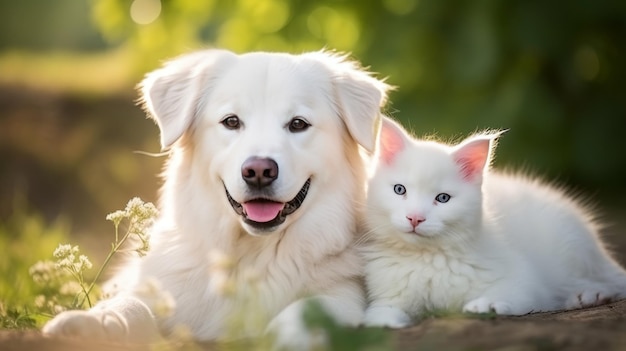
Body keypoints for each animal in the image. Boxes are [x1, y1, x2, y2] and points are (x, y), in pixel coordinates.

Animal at [41, 49, 388, 350]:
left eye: (298, 124)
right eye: (231, 121)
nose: (258, 171)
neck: (250, 256)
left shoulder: (344, 294)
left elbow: (306, 311)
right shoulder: (160, 289)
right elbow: (131, 304)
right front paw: (94, 323)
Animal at [358, 117, 624, 328]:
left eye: (442, 198)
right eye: (399, 190)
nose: (415, 218)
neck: (427, 257)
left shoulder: (526, 281)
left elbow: (514, 293)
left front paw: (487, 304)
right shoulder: (388, 292)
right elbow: (380, 312)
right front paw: (383, 321)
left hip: (572, 250)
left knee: (615, 280)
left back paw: (591, 295)